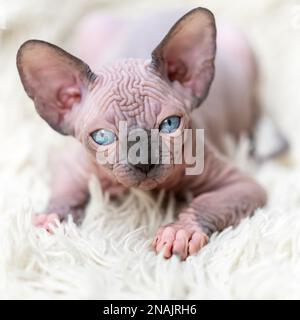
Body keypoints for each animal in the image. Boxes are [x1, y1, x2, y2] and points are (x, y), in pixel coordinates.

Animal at [16, 7, 286, 260]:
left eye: (169, 124)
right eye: (102, 137)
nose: (143, 161)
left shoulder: (242, 185)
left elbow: (207, 202)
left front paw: (181, 231)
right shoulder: (71, 164)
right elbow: (65, 192)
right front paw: (51, 218)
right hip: (92, 26)